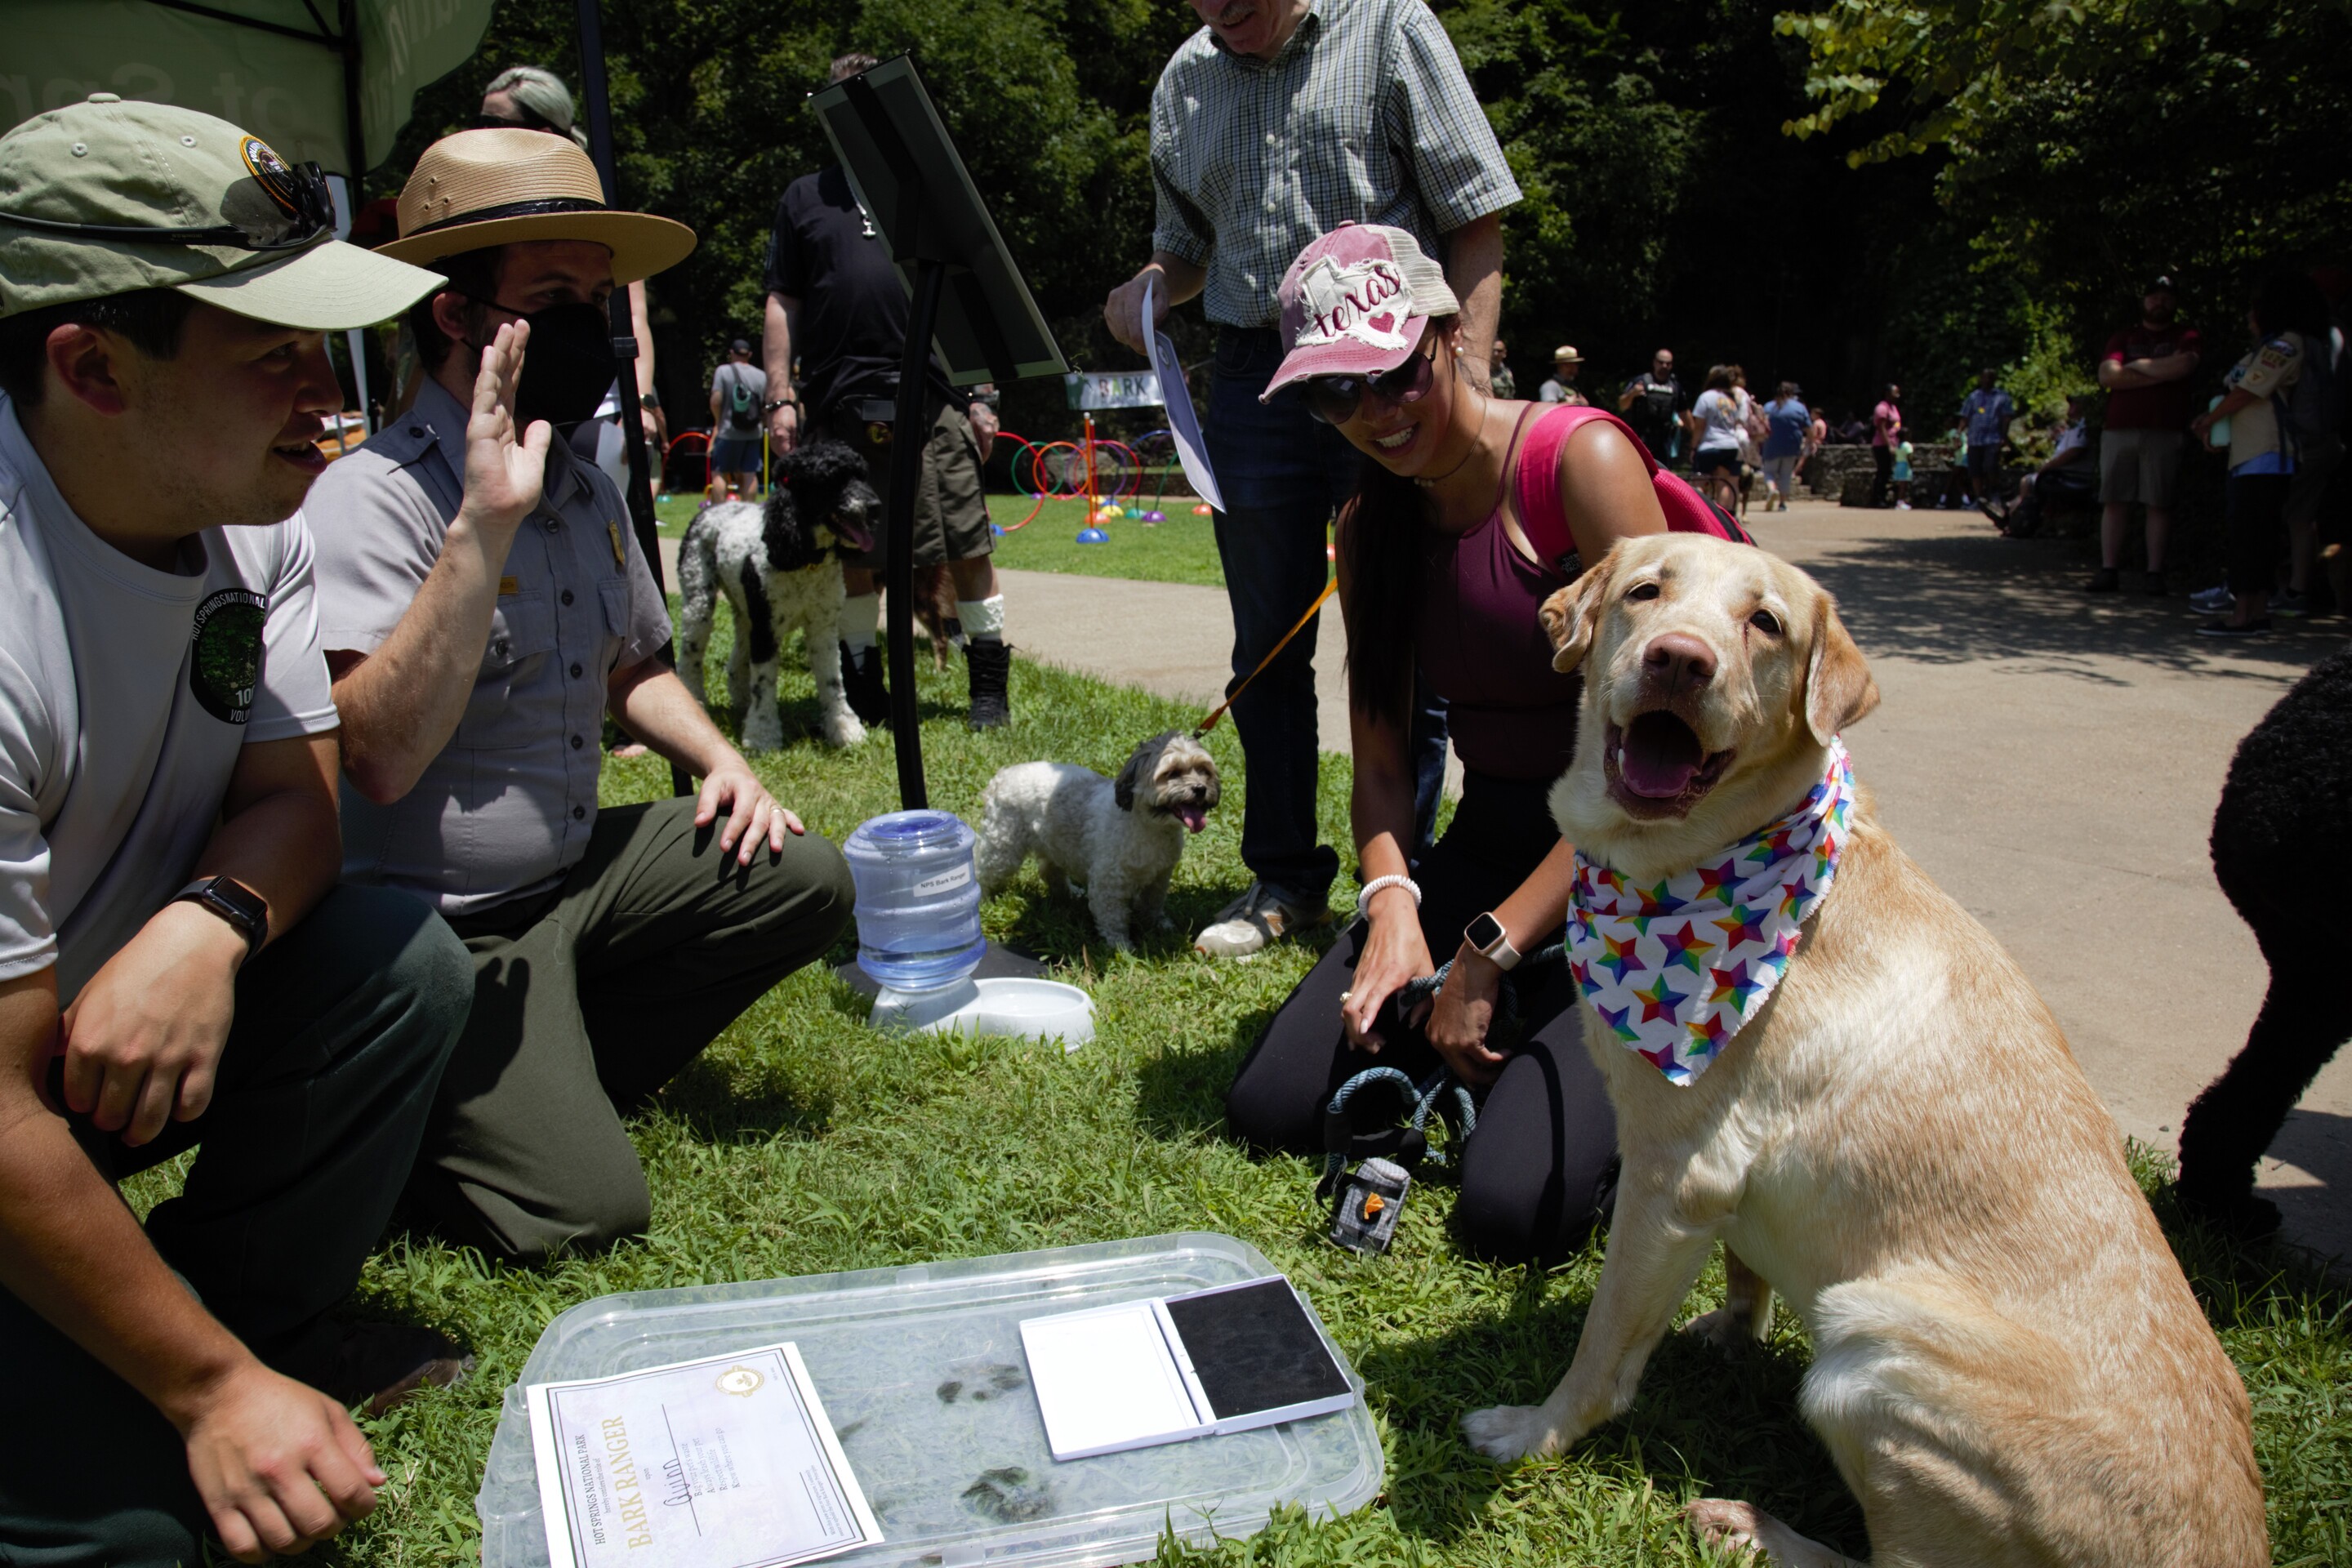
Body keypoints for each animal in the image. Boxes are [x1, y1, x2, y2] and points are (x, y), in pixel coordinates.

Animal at [682, 439, 884, 752]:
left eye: (862, 475)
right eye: (832, 479)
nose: (875, 507)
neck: (804, 558)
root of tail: (710, 511)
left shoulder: (822, 628)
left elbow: (833, 682)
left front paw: (845, 729)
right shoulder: (767, 629)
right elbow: (764, 683)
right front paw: (762, 734)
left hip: (745, 613)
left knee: (737, 659)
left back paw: (741, 702)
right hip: (699, 603)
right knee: (690, 656)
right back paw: (696, 702)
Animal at [978, 728, 1223, 949]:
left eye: (1204, 771)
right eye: (1172, 773)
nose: (1200, 788)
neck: (1150, 827)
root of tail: (1002, 776)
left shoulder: (1160, 876)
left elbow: (1152, 905)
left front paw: (1160, 926)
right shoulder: (1109, 883)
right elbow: (1113, 918)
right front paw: (1121, 947)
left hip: (1055, 842)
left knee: (1050, 871)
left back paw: (1069, 893)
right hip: (1003, 848)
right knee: (987, 873)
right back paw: (984, 899)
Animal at [1458, 533, 2267, 1561]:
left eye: (1765, 623)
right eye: (1646, 591)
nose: (1681, 660)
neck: (1715, 854)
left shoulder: (1673, 1174)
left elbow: (1604, 1348)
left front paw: (1535, 1432)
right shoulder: (1721, 1183)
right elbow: (1744, 1266)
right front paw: (1734, 1331)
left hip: (1875, 1345)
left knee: (1894, 1559)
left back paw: (1753, 1527)